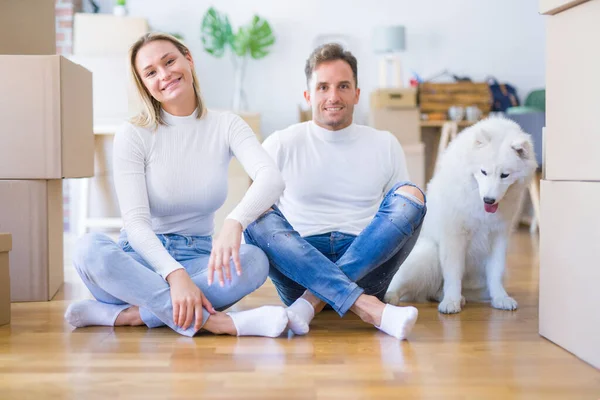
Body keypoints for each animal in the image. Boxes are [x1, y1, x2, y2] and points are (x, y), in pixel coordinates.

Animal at [386, 117, 536, 314]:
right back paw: (392, 298)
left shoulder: (499, 236)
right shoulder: (455, 236)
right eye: (483, 172)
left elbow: (496, 271)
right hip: (428, 255)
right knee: (400, 284)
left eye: (504, 175)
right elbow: (454, 271)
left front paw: (500, 298)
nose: (489, 200)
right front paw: (451, 301)